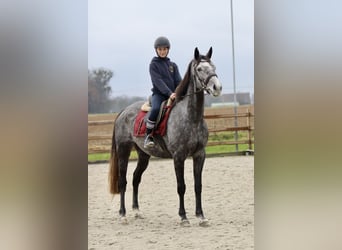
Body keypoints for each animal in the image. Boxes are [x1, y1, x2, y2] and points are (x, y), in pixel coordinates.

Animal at [109, 47, 222, 227]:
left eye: (213, 67)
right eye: (199, 69)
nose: (217, 87)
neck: (191, 117)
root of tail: (123, 111)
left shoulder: (199, 155)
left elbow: (198, 186)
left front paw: (201, 216)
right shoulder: (178, 157)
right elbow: (181, 186)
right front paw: (183, 217)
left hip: (143, 155)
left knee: (135, 178)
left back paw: (137, 211)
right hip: (123, 151)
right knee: (122, 181)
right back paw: (123, 214)